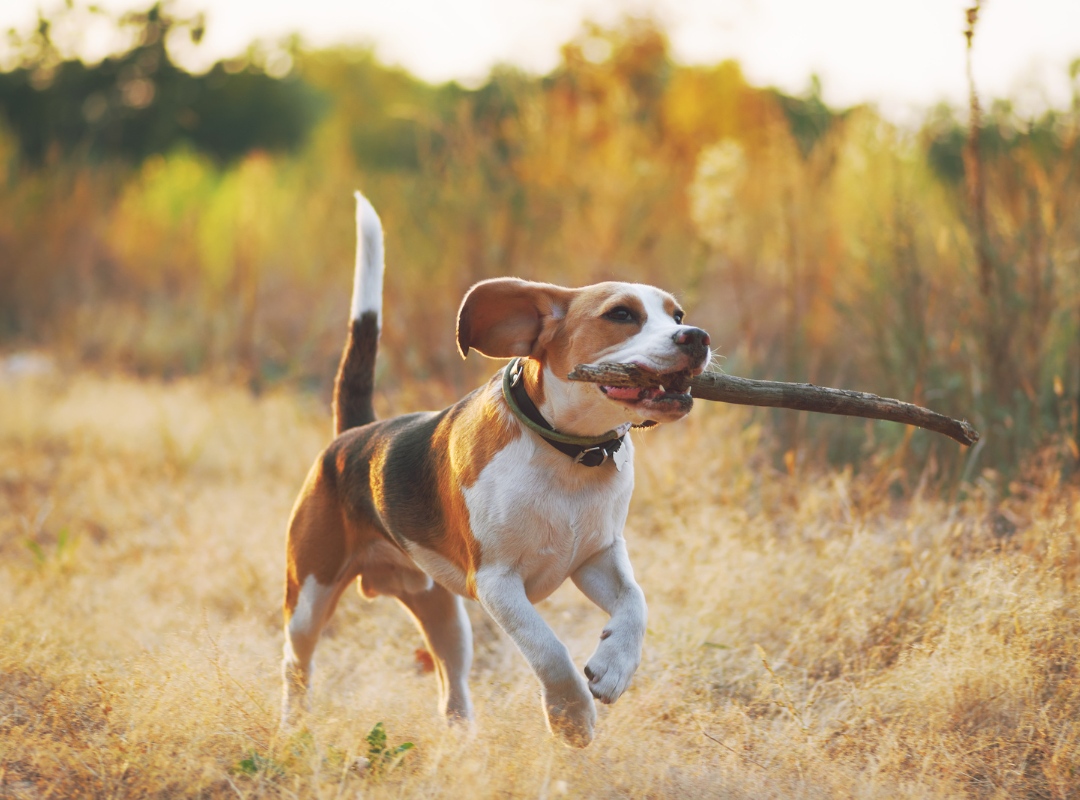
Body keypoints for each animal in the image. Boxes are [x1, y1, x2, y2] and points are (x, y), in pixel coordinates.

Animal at [282, 195, 712, 747]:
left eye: (676, 314)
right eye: (621, 314)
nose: (696, 336)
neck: (569, 454)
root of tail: (356, 434)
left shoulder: (597, 557)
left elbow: (635, 602)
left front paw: (614, 666)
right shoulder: (498, 583)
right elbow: (548, 648)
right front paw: (571, 716)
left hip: (444, 614)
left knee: (450, 678)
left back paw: (462, 739)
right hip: (309, 597)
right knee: (296, 664)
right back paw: (292, 728)